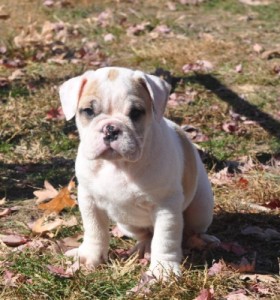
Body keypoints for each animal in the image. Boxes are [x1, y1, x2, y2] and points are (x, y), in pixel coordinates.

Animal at [58, 67, 217, 280]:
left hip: (202, 208)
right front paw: (89, 256)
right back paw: (142, 247)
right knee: (146, 234)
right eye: (89, 111)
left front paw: (163, 269)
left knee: (191, 230)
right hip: (127, 224)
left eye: (135, 113)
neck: (118, 165)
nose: (111, 129)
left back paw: (204, 240)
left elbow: (165, 238)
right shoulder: (88, 199)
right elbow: (94, 229)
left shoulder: (166, 206)